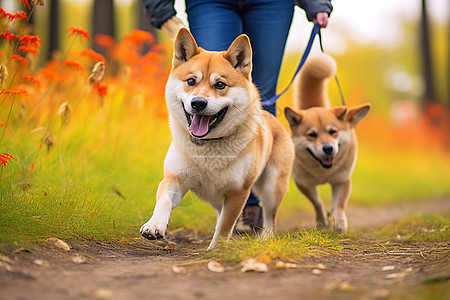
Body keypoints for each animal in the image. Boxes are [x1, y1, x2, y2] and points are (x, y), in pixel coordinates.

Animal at [141, 28, 296, 248]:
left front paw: (216, 250)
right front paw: (154, 225)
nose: (198, 103)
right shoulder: (176, 178)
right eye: (191, 81)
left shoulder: (238, 193)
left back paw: (265, 239)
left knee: (270, 219)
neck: (209, 145)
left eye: (220, 84)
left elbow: (224, 228)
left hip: (272, 188)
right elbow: (164, 200)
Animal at [284, 53, 370, 232]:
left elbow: (339, 205)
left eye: (332, 132)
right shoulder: (303, 184)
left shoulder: (342, 181)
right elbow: (317, 202)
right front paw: (322, 222)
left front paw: (340, 224)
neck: (322, 172)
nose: (328, 148)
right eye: (312, 135)